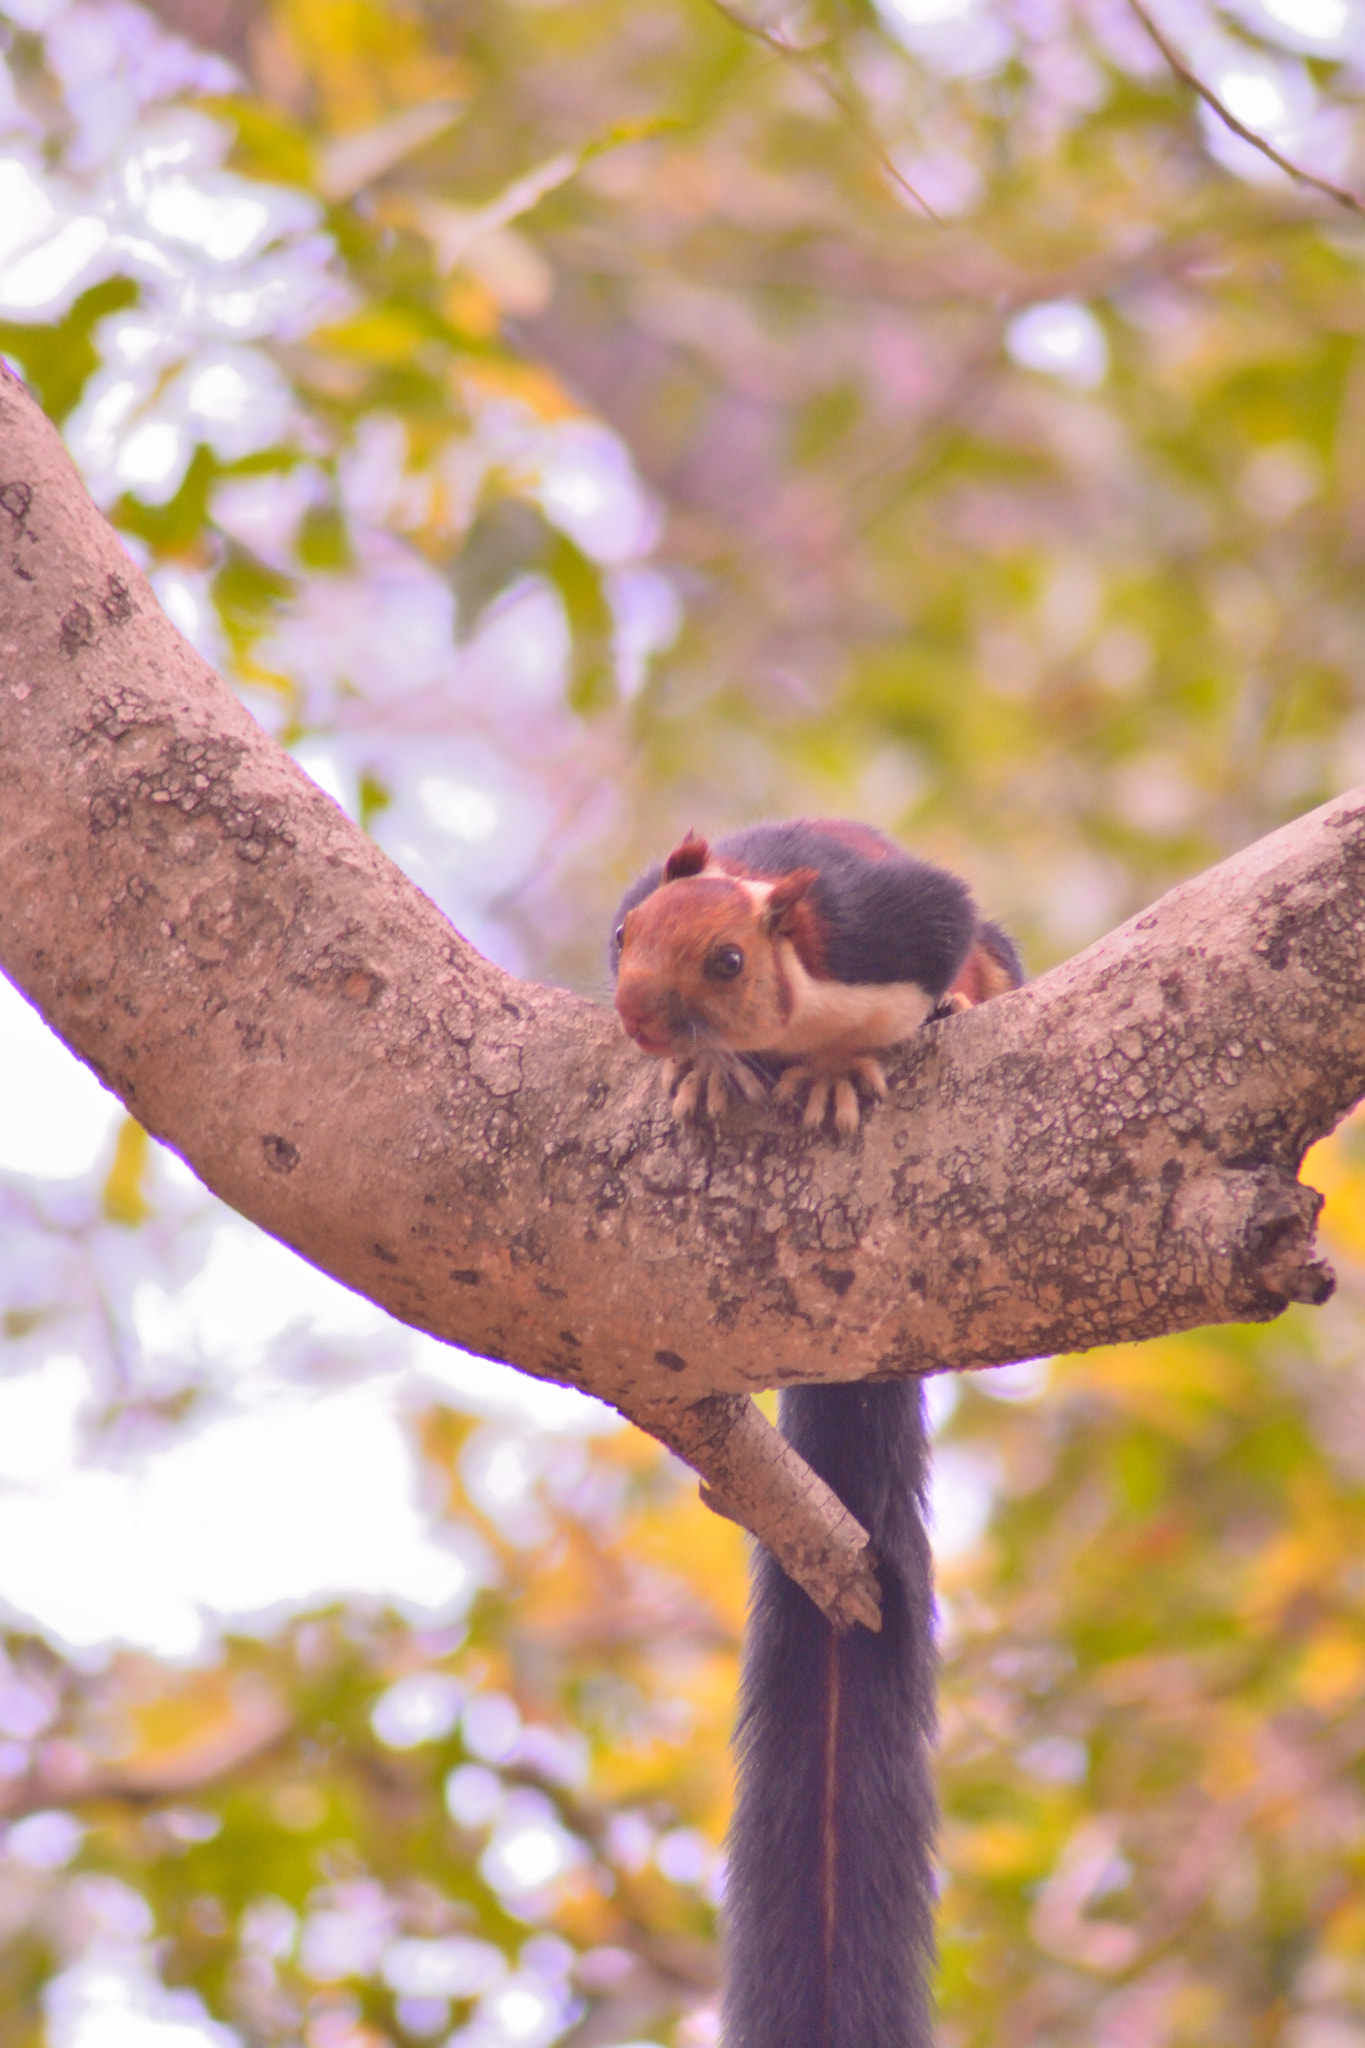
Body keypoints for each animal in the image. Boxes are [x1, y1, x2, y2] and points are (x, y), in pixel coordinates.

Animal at [610, 819, 1023, 2048]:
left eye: (727, 962)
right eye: (625, 933)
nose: (637, 1019)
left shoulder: (890, 920)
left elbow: (938, 930)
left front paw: (845, 1067)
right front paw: (701, 1071)